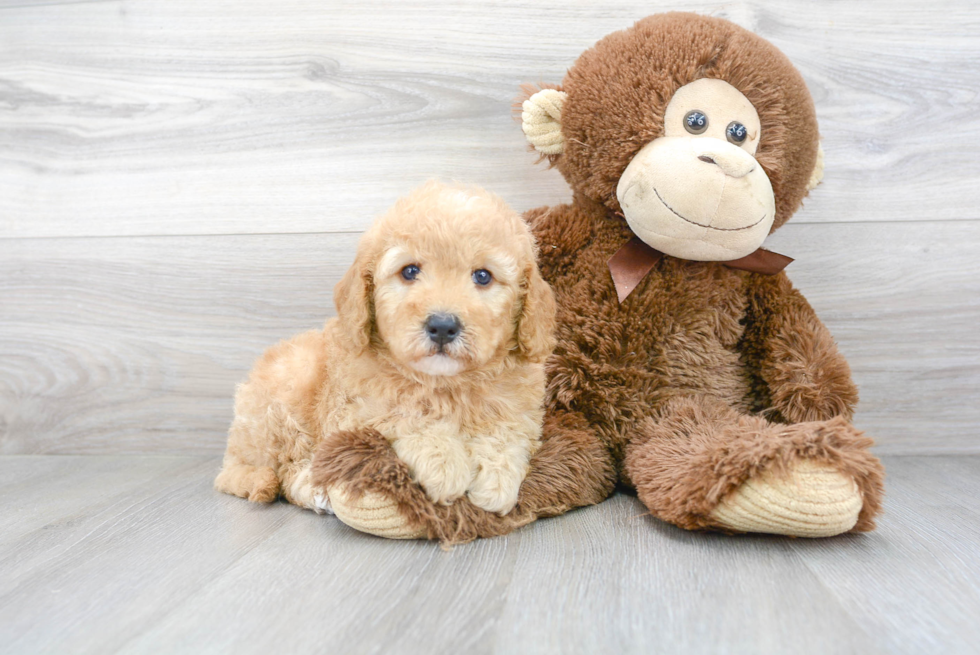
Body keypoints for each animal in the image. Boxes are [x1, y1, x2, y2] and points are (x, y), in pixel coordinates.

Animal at [213, 181, 556, 516]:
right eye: (410, 271)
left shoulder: (520, 409)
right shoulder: (355, 410)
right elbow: (405, 415)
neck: (445, 384)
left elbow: (507, 431)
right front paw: (444, 463)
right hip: (284, 396)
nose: (443, 326)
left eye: (483, 276)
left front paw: (498, 478)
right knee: (268, 470)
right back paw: (306, 489)